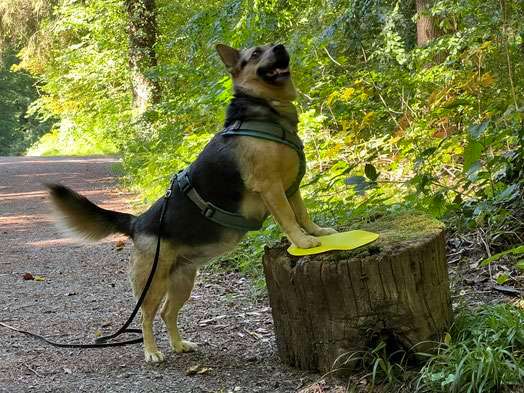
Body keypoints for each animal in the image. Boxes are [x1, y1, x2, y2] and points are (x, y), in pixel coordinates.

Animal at [48, 44, 336, 362]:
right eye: (256, 53)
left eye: (272, 44)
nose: (280, 47)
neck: (267, 111)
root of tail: (137, 222)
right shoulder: (271, 188)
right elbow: (288, 219)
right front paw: (303, 241)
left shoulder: (290, 188)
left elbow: (303, 215)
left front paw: (318, 232)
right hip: (153, 283)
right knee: (146, 317)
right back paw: (152, 352)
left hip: (182, 281)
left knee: (167, 314)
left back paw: (178, 344)